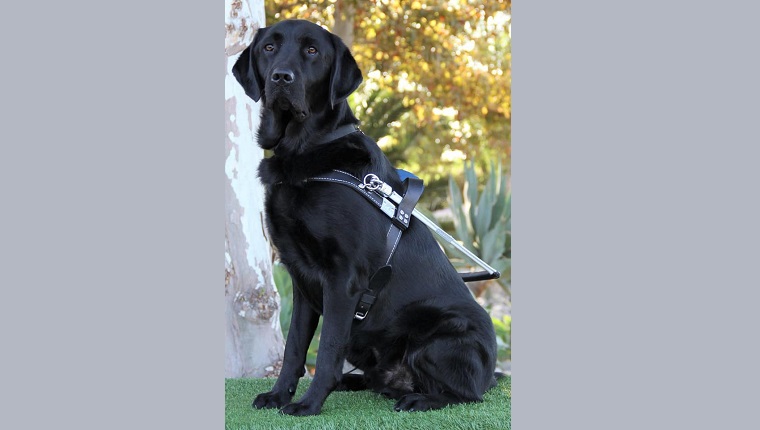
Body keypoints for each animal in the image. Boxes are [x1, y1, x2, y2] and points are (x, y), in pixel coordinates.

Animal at [235, 20, 502, 416]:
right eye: (269, 48)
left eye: (312, 51)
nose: (281, 77)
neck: (305, 150)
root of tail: (491, 372)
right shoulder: (300, 278)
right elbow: (294, 348)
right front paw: (279, 395)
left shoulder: (342, 278)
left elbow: (328, 349)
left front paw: (308, 404)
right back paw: (358, 382)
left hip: (446, 334)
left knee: (465, 394)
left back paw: (418, 398)